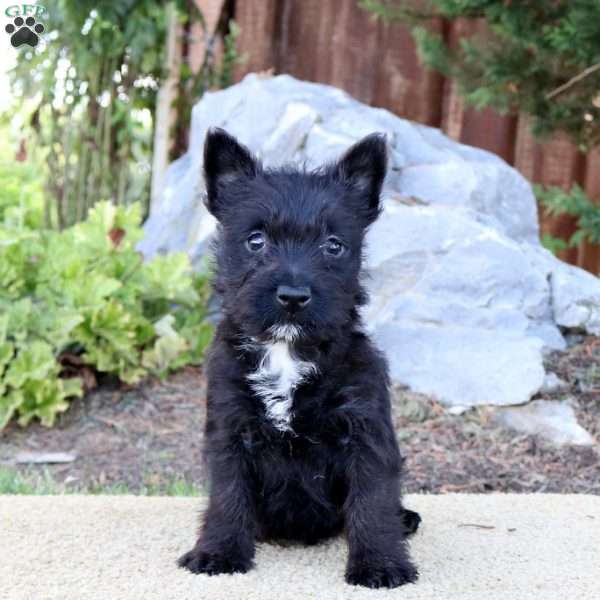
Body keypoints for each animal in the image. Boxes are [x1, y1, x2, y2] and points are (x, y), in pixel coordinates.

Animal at [178, 129, 420, 588]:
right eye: (256, 240)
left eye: (333, 245)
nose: (293, 296)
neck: (286, 352)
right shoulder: (230, 431)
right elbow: (227, 497)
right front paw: (218, 551)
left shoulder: (365, 431)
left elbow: (373, 502)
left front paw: (380, 563)